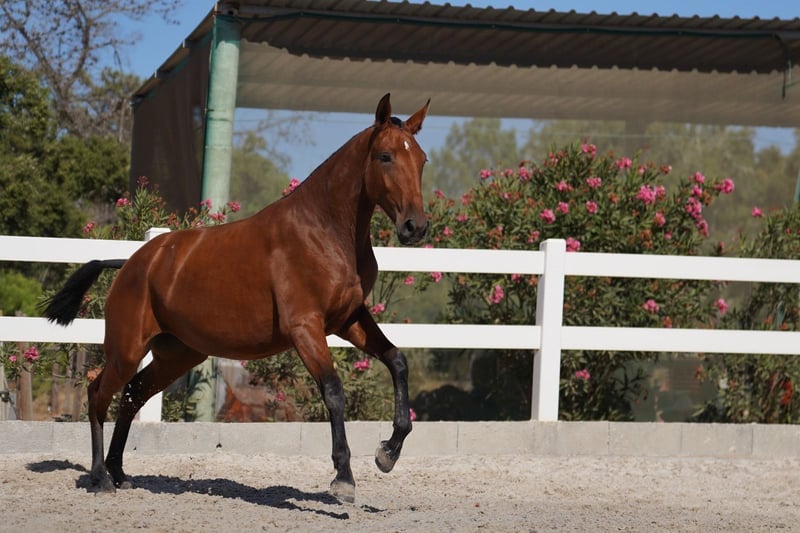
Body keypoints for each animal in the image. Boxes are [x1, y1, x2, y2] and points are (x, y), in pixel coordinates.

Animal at [43, 93, 430, 504]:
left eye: (422, 159)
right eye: (385, 156)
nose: (415, 226)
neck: (323, 231)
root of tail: (131, 262)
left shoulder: (349, 319)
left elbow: (397, 361)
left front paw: (388, 452)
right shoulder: (305, 327)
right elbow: (333, 390)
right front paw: (343, 478)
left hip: (177, 355)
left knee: (132, 395)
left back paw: (119, 472)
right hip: (127, 349)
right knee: (98, 393)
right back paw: (100, 476)